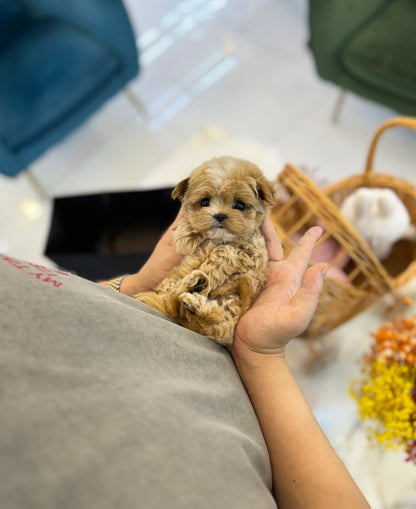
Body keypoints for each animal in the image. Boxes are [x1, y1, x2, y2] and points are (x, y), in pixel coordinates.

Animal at [135, 156, 274, 346]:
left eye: (239, 205)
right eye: (204, 202)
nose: (219, 215)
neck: (218, 239)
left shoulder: (253, 252)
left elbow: (226, 251)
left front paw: (212, 266)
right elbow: (189, 227)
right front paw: (185, 237)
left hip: (231, 307)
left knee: (211, 319)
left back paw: (196, 293)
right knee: (172, 298)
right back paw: (194, 285)